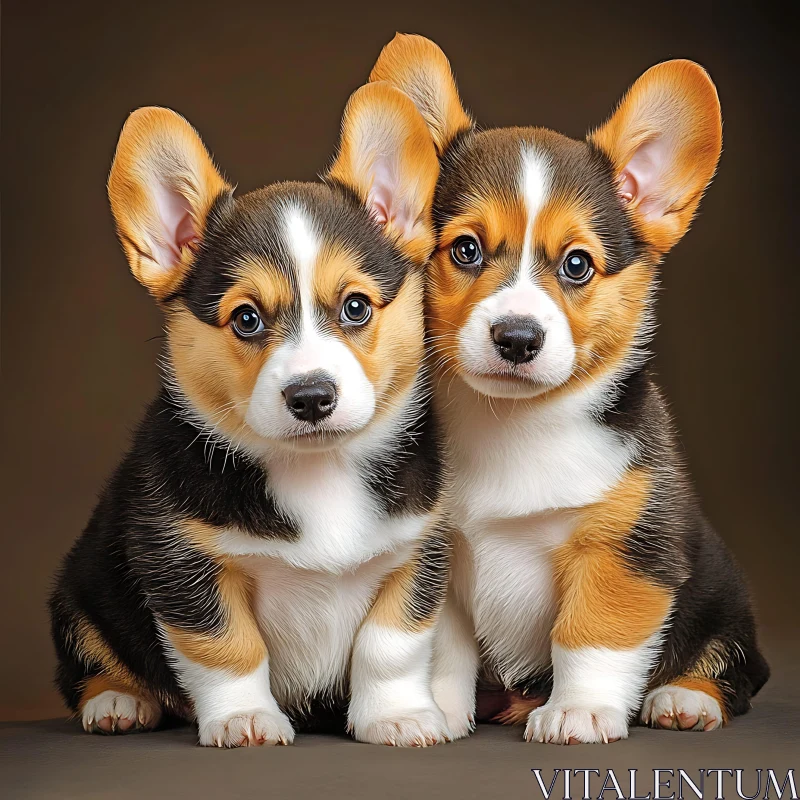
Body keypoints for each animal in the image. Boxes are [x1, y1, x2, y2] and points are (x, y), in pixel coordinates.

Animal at [48, 84, 462, 748]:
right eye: (246, 319)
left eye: (355, 307)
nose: (312, 396)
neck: (317, 470)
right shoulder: (182, 559)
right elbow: (227, 646)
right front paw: (244, 719)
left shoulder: (415, 550)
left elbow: (390, 645)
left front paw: (396, 717)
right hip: (81, 591)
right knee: (95, 661)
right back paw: (117, 702)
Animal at [368, 36, 768, 744]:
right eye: (465, 250)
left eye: (577, 264)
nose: (517, 337)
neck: (515, 425)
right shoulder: (441, 557)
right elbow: (441, 649)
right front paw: (435, 710)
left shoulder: (625, 546)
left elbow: (592, 635)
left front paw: (579, 711)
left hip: (721, 595)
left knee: (730, 664)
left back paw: (685, 699)